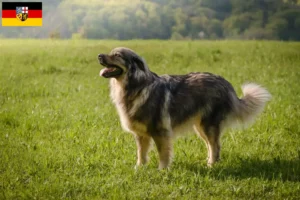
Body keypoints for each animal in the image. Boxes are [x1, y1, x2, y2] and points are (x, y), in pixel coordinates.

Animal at [97, 47, 270, 170]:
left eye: (117, 55)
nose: (99, 56)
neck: (136, 86)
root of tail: (226, 84)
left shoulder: (160, 132)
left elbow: (163, 154)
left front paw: (162, 170)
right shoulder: (141, 135)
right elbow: (141, 153)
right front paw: (139, 168)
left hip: (208, 125)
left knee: (215, 146)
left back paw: (211, 166)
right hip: (200, 127)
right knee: (211, 145)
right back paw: (209, 162)